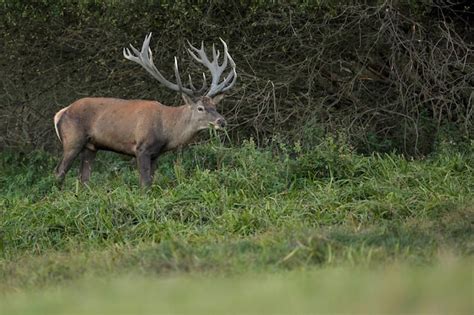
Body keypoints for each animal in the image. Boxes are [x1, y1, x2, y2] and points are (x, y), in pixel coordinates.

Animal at [53, 33, 237, 188]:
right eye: (200, 108)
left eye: (215, 106)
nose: (222, 121)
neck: (166, 130)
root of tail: (60, 113)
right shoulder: (141, 148)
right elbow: (145, 183)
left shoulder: (155, 154)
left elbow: (151, 180)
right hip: (72, 140)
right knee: (59, 172)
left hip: (91, 147)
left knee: (84, 178)